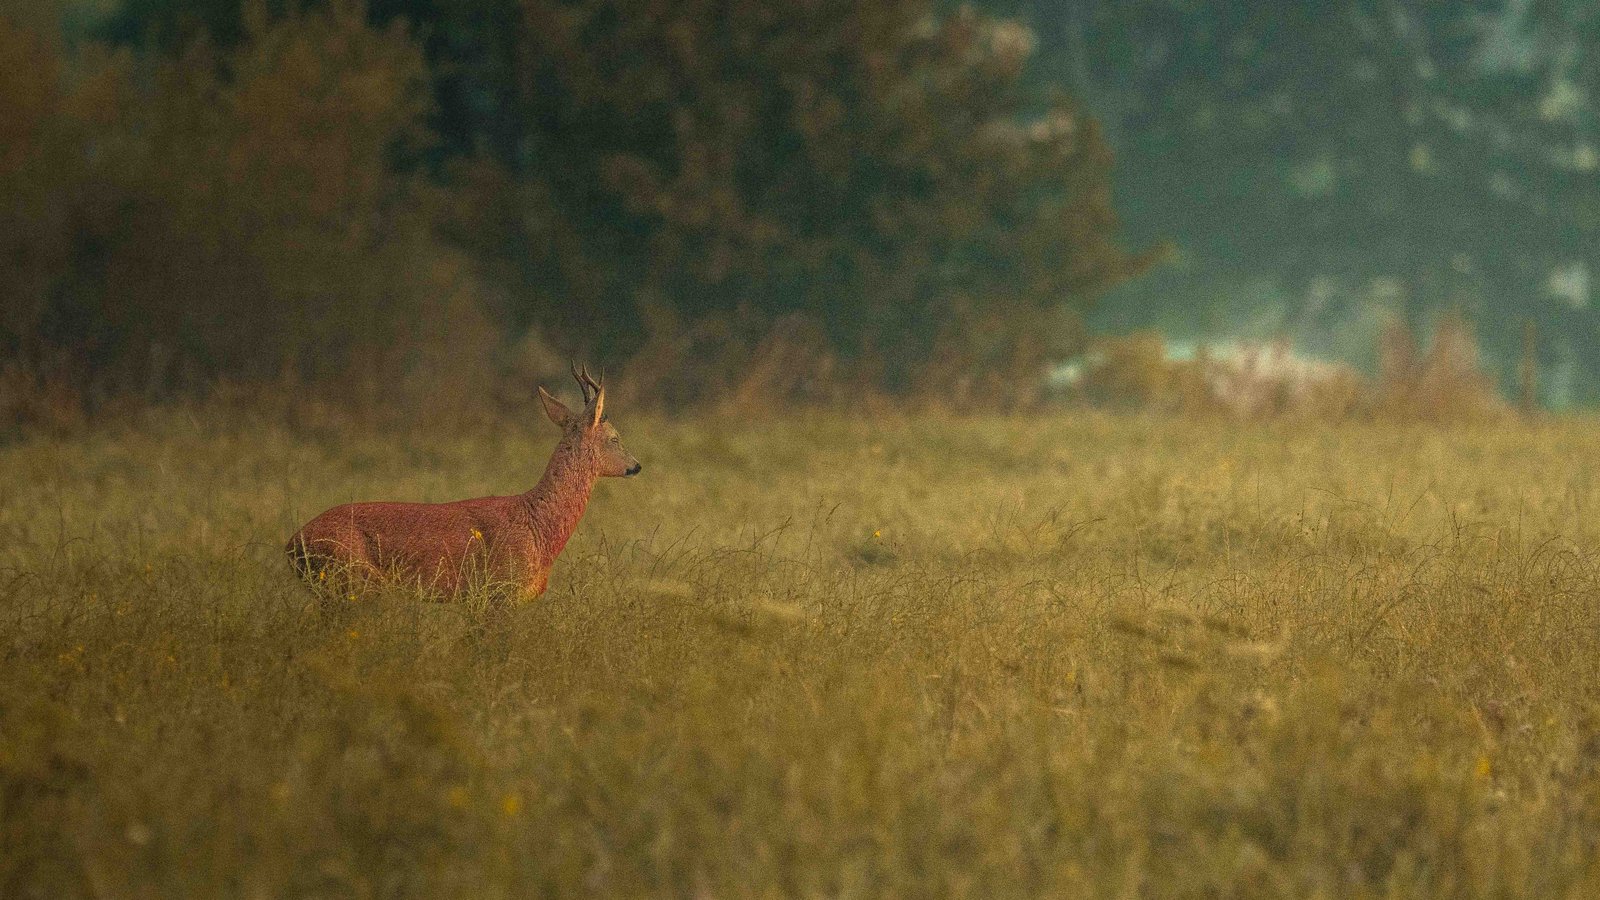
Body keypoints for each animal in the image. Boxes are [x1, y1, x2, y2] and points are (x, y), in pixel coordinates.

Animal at [286, 365, 640, 601]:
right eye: (615, 437)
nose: (635, 466)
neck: (537, 524)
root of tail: (292, 544)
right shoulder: (498, 590)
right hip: (351, 581)